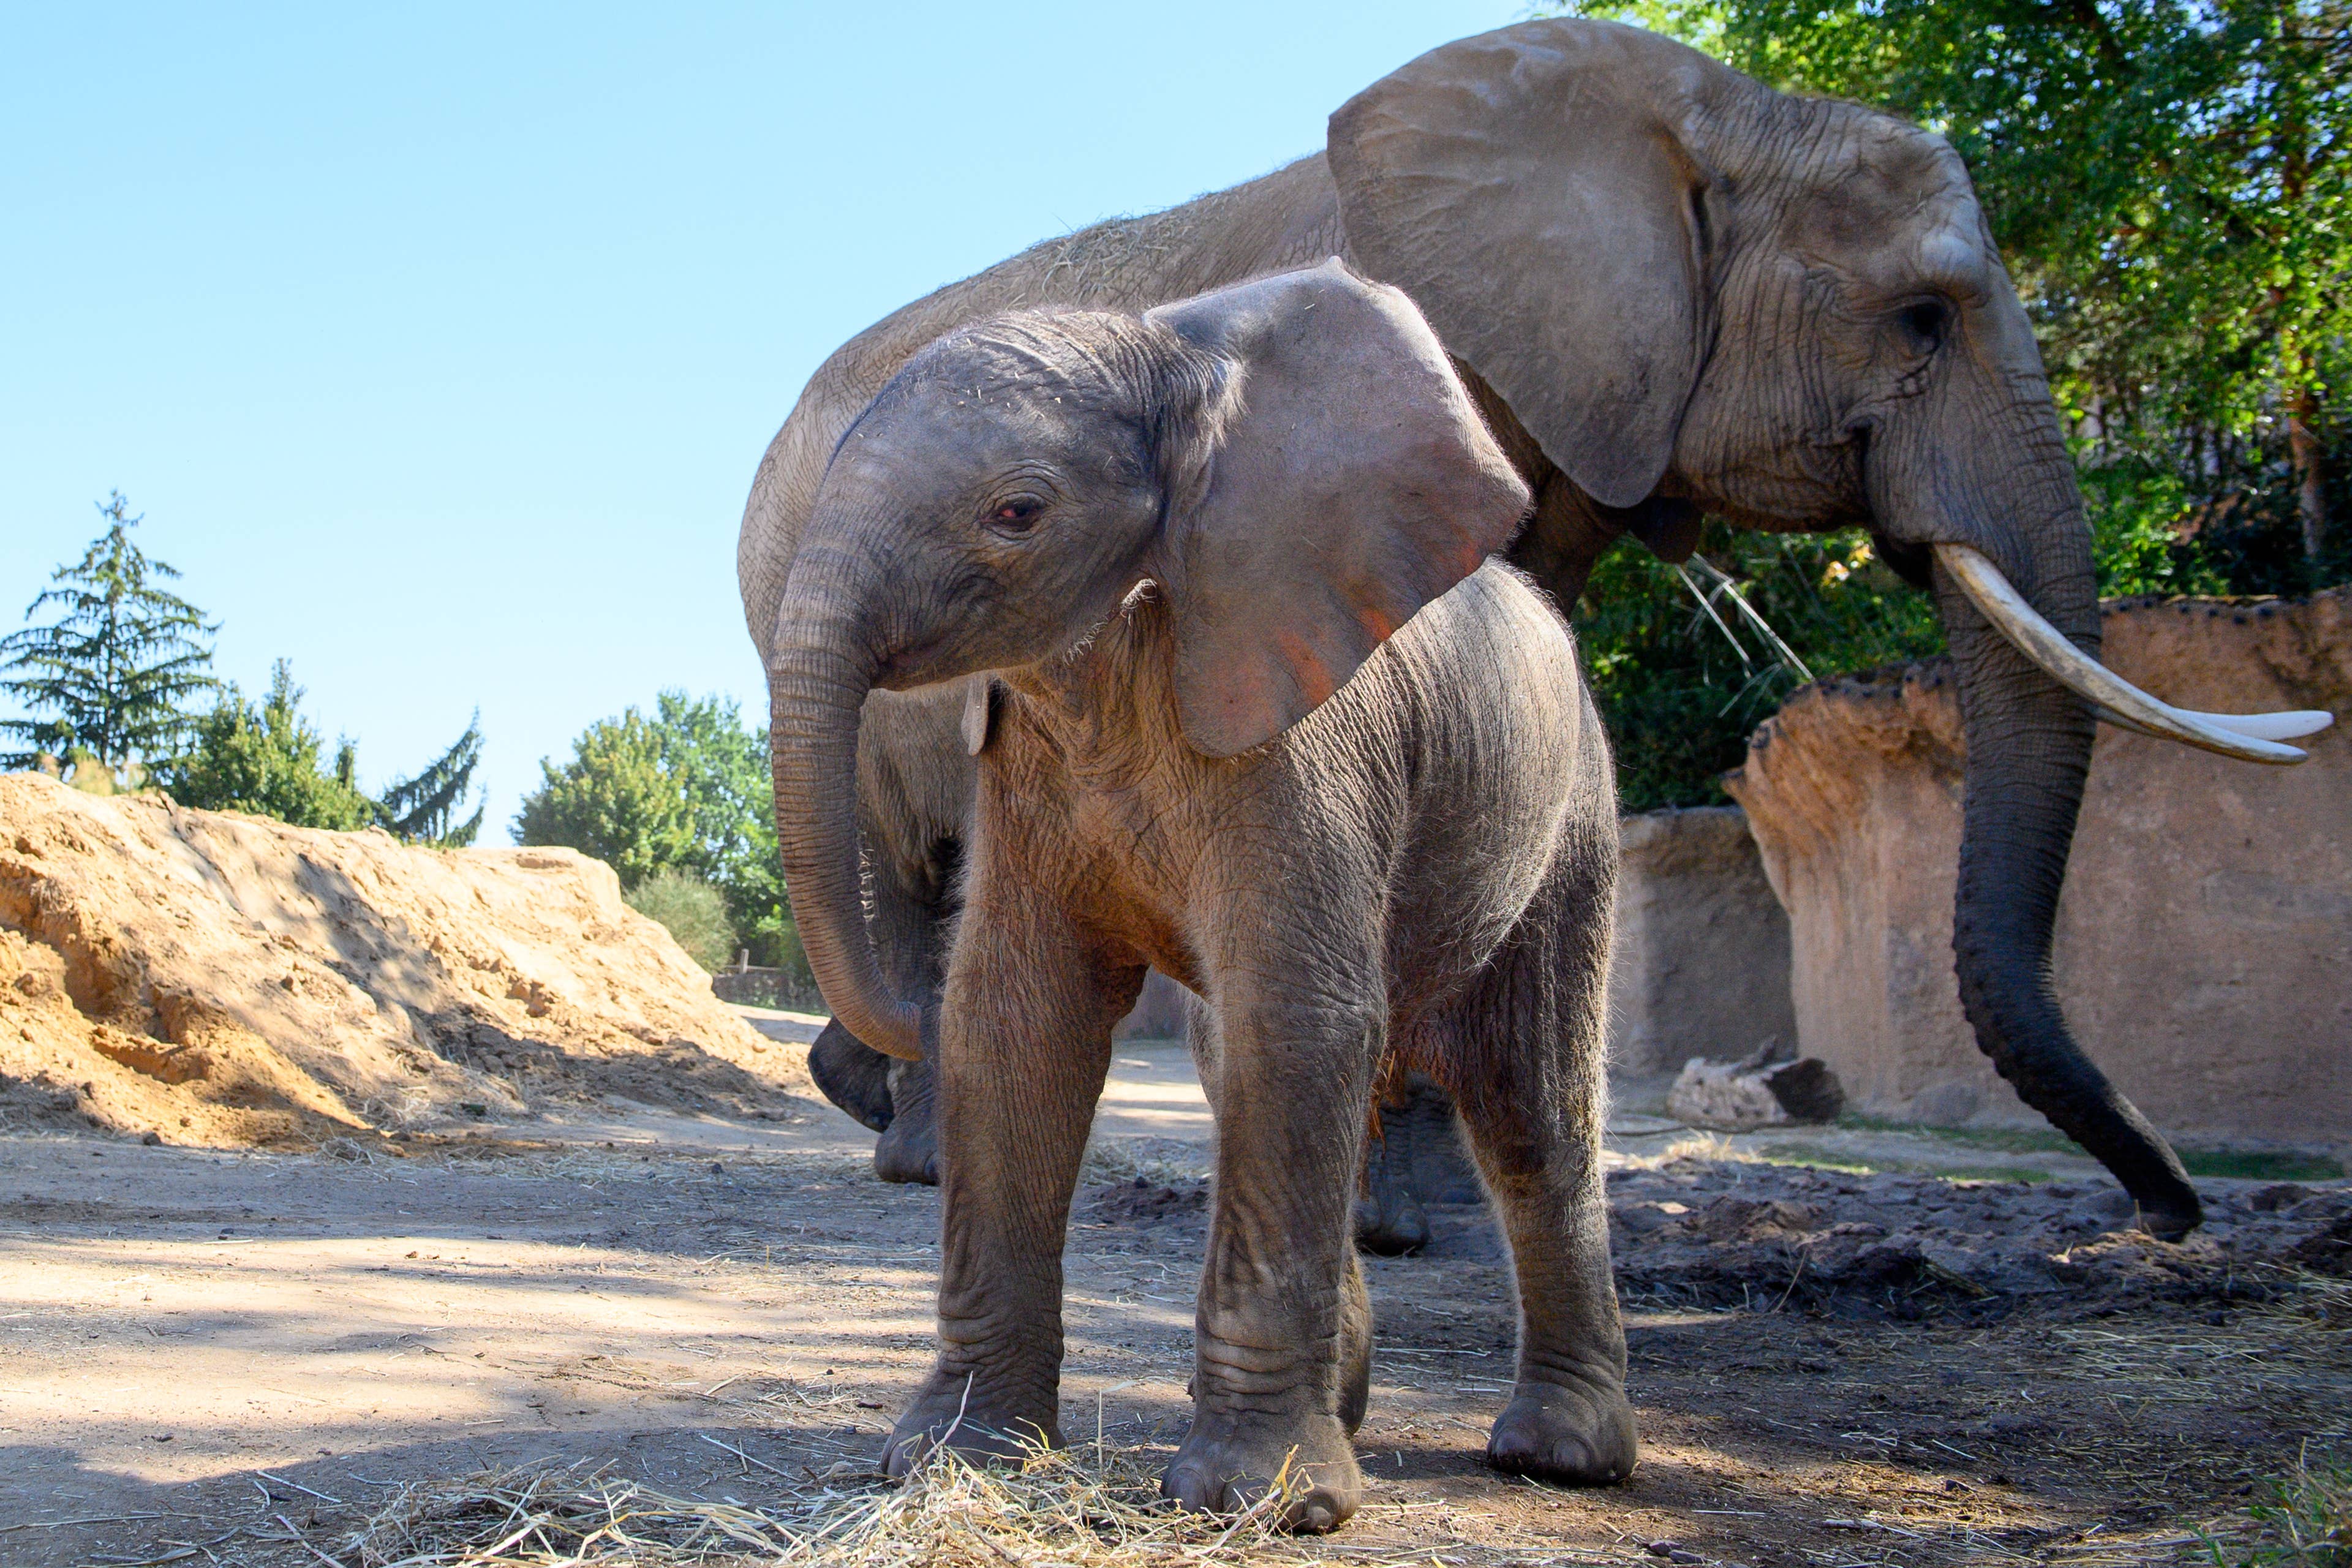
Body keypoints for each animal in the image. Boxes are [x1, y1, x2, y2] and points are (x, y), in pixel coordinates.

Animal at [745, 18, 2327, 1241]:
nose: (2166, 1216)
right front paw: (1397, 1221)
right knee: (913, 864)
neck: (1710, 114)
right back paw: (918, 1154)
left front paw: (1434, 1215)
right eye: (1923, 317)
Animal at [768, 262, 1635, 1528]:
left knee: (1528, 1099)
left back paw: (1560, 1455)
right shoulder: (1026, 764)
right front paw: (952, 1461)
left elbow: (1298, 1019)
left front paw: (1258, 1505)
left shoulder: (1310, 734)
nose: (874, 1045)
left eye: (1018, 512)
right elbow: (1018, 1027)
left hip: (1575, 821)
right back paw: (1357, 1409)